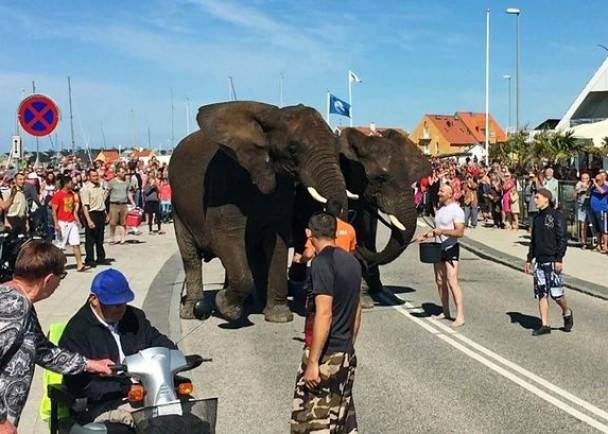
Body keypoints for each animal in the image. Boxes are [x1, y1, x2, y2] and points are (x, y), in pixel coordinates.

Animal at [169, 100, 346, 320]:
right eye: (293, 149)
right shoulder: (225, 180)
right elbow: (223, 236)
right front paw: (226, 307)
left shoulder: (280, 186)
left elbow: (277, 238)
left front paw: (278, 316)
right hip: (178, 208)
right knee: (191, 256)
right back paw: (191, 310)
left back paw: (256, 302)